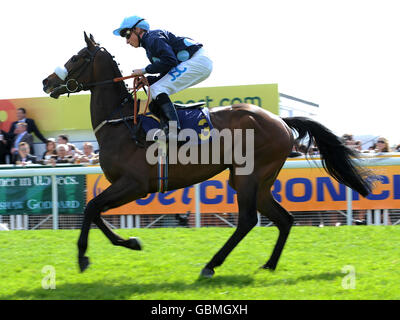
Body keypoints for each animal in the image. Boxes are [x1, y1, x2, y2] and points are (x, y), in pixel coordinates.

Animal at [41, 32, 372, 278]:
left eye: (77, 57)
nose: (47, 82)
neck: (120, 123)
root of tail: (280, 119)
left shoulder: (135, 184)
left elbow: (91, 208)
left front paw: (84, 257)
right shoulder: (124, 185)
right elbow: (96, 211)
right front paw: (131, 242)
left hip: (249, 175)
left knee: (248, 220)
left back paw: (211, 265)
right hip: (256, 180)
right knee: (284, 219)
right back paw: (268, 264)